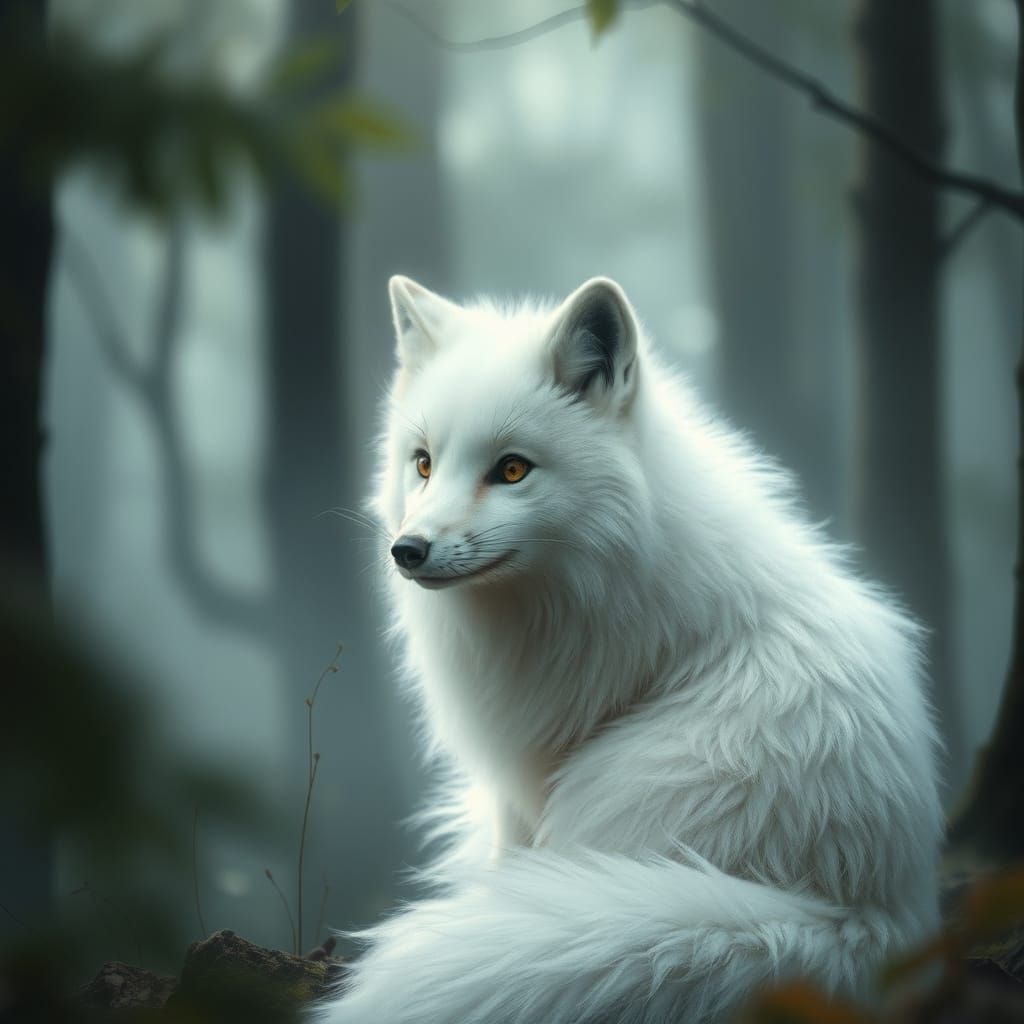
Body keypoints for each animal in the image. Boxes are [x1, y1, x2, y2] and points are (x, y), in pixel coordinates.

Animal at [315, 276, 942, 1023]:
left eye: (513, 469)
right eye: (423, 464)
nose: (407, 550)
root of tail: (868, 915)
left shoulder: (536, 761)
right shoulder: (513, 789)